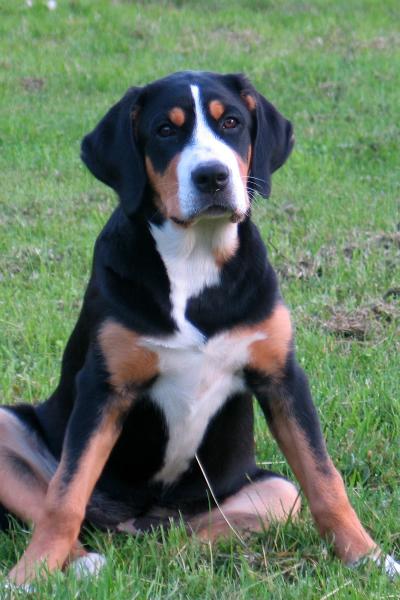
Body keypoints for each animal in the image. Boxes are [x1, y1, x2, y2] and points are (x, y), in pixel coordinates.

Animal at [1, 71, 399, 586]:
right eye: (165, 131)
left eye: (230, 122)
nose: (212, 176)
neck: (194, 258)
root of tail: (139, 519)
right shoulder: (104, 386)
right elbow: (63, 496)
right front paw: (28, 575)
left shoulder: (282, 378)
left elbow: (325, 481)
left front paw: (369, 557)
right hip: (7, 428)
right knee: (62, 502)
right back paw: (83, 560)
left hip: (261, 491)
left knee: (194, 535)